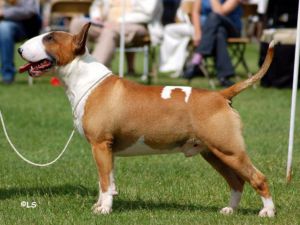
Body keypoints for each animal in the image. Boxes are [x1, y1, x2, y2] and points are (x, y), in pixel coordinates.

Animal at [18, 22, 276, 216]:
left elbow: (104, 181)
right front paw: (102, 205)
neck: (84, 79)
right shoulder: (107, 149)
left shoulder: (100, 145)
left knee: (258, 177)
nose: (19, 49)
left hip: (229, 149)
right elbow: (107, 181)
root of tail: (221, 95)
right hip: (213, 152)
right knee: (237, 182)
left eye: (50, 38)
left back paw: (268, 212)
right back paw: (230, 210)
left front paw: (103, 210)